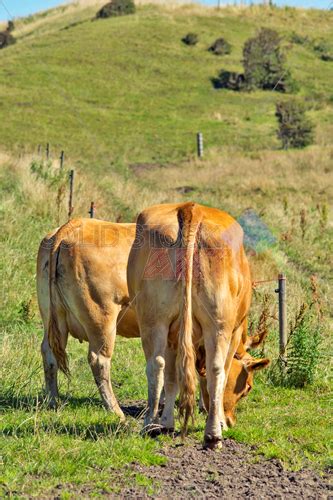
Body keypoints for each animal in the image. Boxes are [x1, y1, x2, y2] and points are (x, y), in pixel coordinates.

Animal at [37, 217, 268, 424]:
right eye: (248, 387)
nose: (230, 420)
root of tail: (71, 226)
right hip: (101, 317)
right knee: (99, 360)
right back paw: (115, 411)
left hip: (53, 318)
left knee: (49, 352)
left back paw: (53, 400)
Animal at [126, 201, 268, 448]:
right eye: (248, 387)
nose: (231, 420)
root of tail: (192, 208)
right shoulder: (233, 332)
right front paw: (216, 417)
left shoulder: (173, 336)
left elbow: (173, 379)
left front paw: (167, 422)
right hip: (218, 325)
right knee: (217, 369)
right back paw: (214, 433)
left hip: (154, 320)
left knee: (157, 366)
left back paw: (151, 425)